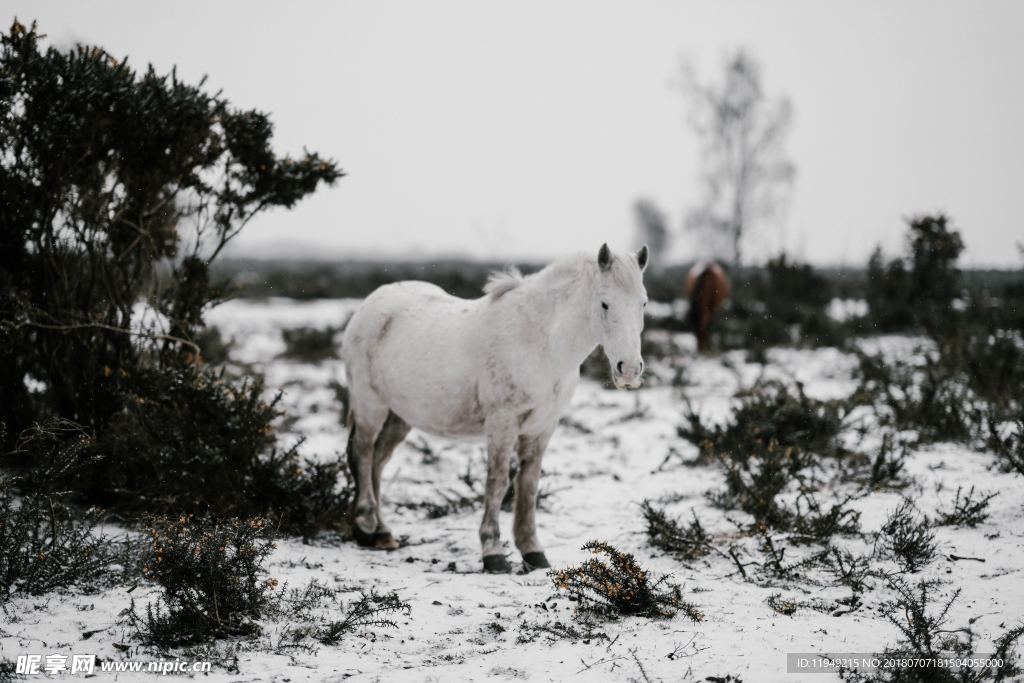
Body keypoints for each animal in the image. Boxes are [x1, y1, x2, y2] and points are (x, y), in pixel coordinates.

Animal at [342, 242, 647, 573]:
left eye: (643, 303)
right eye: (605, 304)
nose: (629, 370)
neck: (541, 342)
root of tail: (371, 303)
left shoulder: (543, 427)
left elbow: (528, 485)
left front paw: (533, 551)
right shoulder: (503, 423)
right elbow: (498, 482)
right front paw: (493, 553)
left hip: (400, 416)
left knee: (378, 461)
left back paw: (382, 533)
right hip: (370, 405)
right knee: (363, 453)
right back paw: (365, 527)